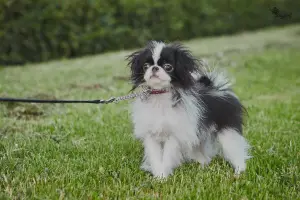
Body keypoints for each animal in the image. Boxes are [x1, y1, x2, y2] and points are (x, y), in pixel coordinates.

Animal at [126, 40, 251, 178]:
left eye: (168, 67)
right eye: (146, 66)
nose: (154, 68)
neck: (160, 96)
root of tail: (218, 89)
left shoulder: (174, 135)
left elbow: (167, 156)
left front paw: (163, 176)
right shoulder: (151, 136)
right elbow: (155, 157)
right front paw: (159, 175)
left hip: (227, 132)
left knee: (235, 150)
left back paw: (239, 171)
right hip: (198, 135)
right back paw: (203, 166)